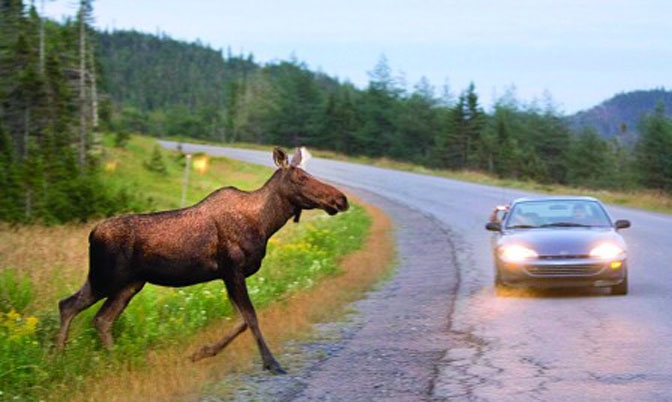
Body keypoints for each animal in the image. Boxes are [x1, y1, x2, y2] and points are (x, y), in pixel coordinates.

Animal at [57, 147, 350, 374]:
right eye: (300, 177)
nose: (341, 199)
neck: (266, 224)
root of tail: (92, 234)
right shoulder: (233, 269)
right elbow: (251, 317)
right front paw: (272, 363)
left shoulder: (228, 275)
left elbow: (241, 320)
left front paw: (201, 352)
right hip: (106, 277)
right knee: (69, 305)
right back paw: (58, 358)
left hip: (129, 283)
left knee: (101, 318)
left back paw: (111, 360)